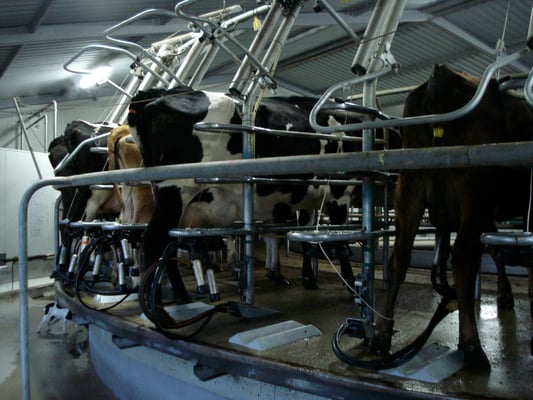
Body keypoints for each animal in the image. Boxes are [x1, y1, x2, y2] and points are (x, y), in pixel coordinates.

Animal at [127, 87, 363, 301]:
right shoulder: (340, 191)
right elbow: (341, 241)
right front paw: (351, 284)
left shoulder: (308, 201)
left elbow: (306, 239)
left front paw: (308, 278)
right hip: (175, 191)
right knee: (155, 240)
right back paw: (176, 296)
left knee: (164, 245)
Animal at [369, 64, 533, 370]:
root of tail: (441, 73)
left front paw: (506, 293)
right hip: (475, 185)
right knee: (463, 257)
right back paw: (472, 346)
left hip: (410, 184)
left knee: (400, 257)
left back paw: (381, 333)